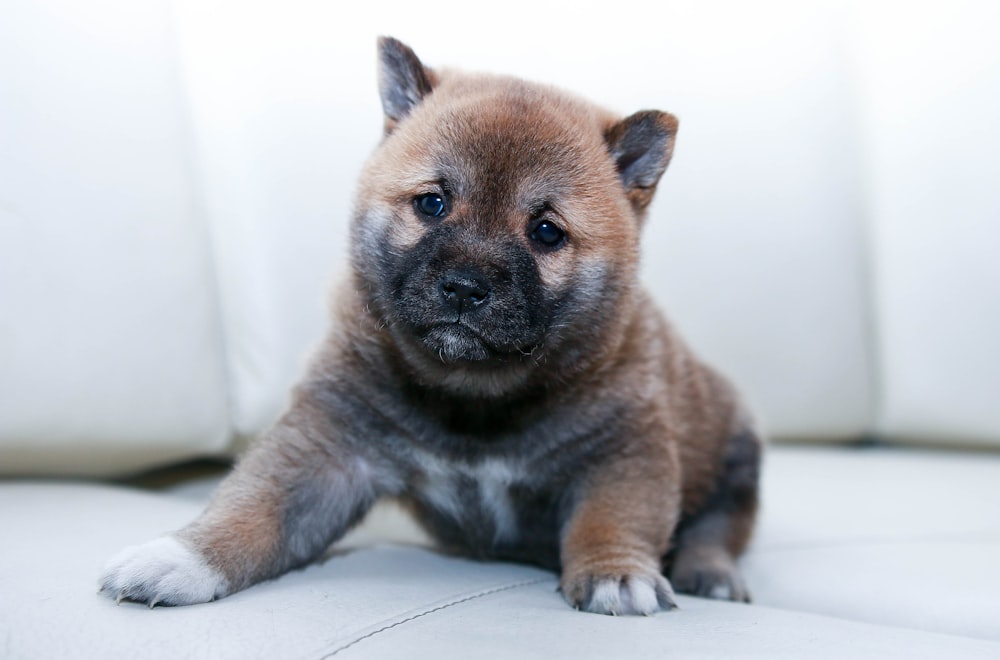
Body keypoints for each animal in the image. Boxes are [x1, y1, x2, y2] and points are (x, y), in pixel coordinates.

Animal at [99, 38, 756, 616]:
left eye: (546, 232)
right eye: (431, 204)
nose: (464, 287)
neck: (474, 401)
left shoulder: (622, 453)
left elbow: (611, 518)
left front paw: (617, 574)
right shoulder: (329, 448)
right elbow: (254, 506)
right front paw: (181, 558)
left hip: (734, 449)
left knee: (719, 525)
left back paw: (710, 573)